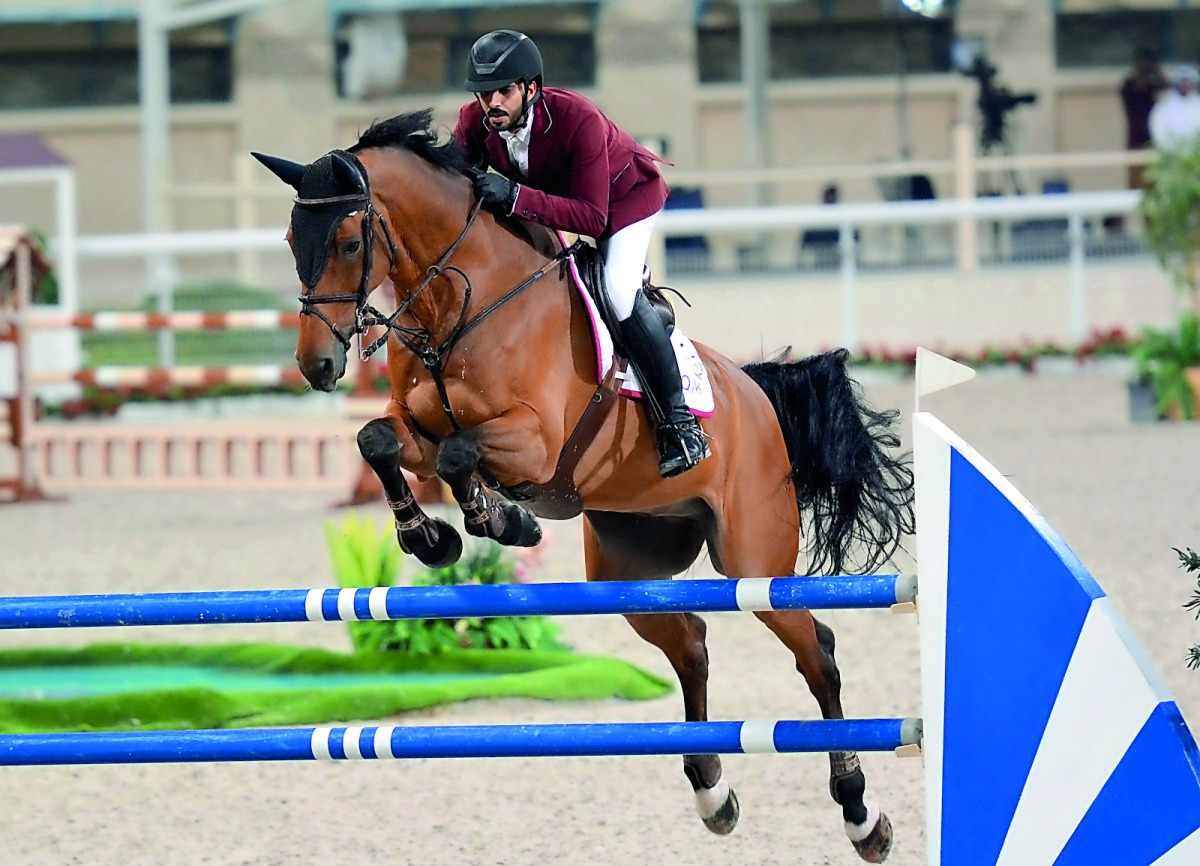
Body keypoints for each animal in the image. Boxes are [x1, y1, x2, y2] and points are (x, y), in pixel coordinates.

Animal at [250, 107, 907, 858]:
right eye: (291, 239)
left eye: (351, 240)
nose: (317, 365)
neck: (460, 300)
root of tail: (755, 393)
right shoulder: (417, 427)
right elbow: (380, 441)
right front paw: (433, 537)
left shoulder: (532, 443)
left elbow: (458, 458)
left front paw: (500, 521)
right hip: (628, 565)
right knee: (691, 644)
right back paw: (713, 793)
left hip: (755, 563)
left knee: (816, 652)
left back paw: (861, 815)